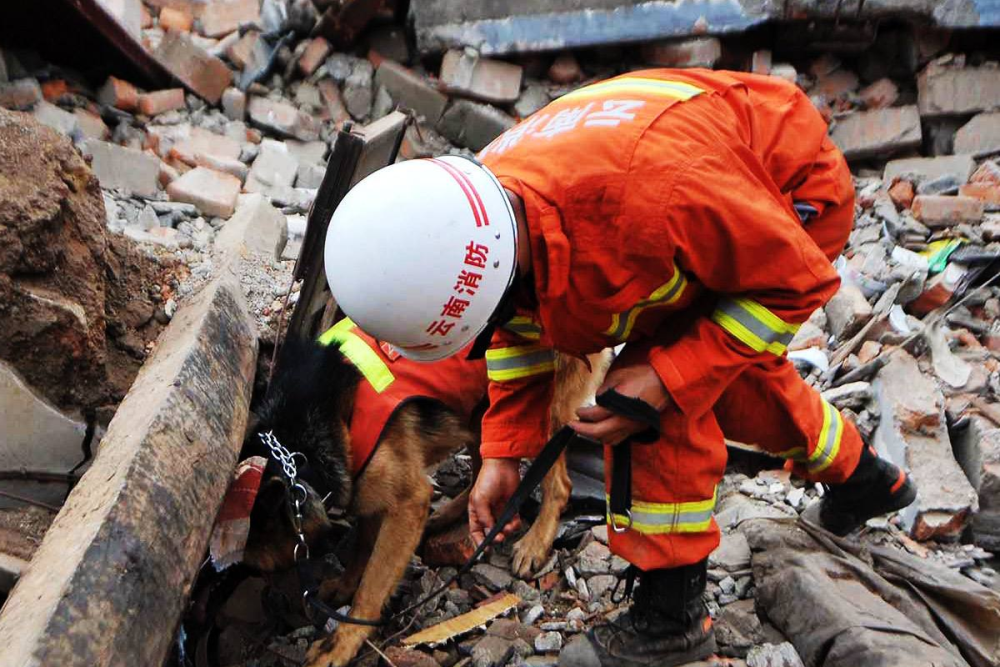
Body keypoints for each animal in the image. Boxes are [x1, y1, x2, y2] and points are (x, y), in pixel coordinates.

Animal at [240, 336, 608, 664]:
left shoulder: (406, 501)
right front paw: (345, 585)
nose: (274, 609)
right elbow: (362, 551)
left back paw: (534, 543)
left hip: (542, 407)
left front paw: (342, 642)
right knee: (482, 473)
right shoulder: (368, 490)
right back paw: (448, 516)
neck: (297, 448)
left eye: (256, 569)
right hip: (481, 408)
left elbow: (373, 586)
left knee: (558, 485)